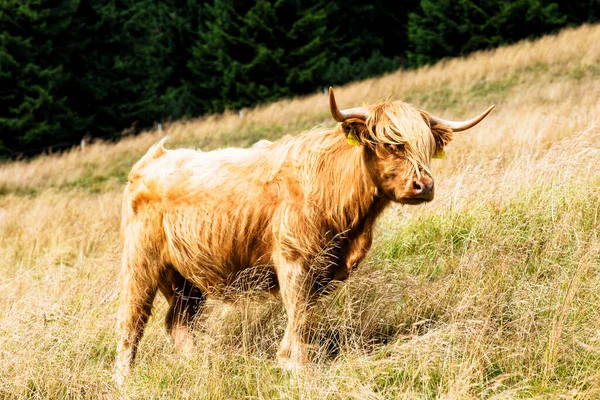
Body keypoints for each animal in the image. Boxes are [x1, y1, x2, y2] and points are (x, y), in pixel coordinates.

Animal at [113, 87, 492, 382]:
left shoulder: (324, 267)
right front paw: (296, 366)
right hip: (141, 263)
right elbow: (298, 313)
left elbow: (305, 313)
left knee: (177, 323)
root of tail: (151, 160)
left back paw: (200, 365)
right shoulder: (293, 260)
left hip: (187, 279)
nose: (423, 186)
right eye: (389, 143)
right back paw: (124, 379)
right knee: (133, 320)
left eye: (426, 146)